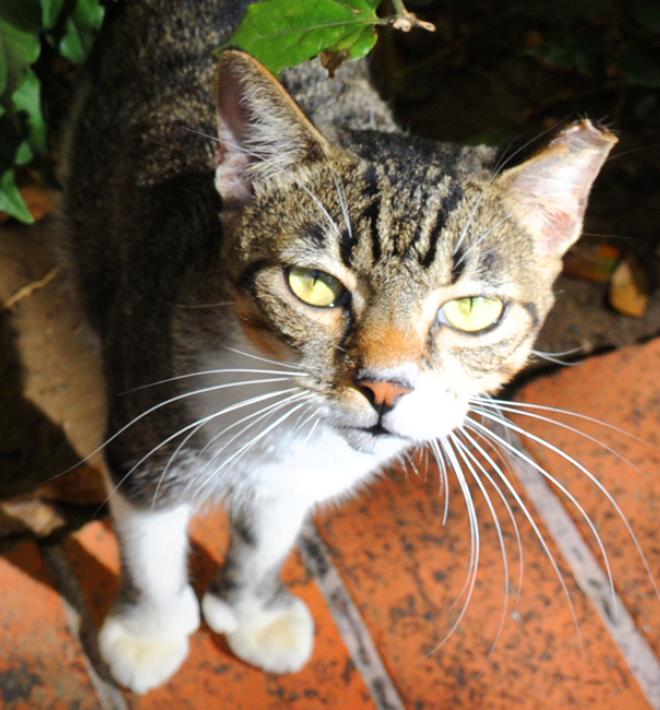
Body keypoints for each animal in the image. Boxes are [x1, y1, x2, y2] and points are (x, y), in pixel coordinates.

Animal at [63, 0, 620, 696]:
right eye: (315, 285)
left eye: (472, 310)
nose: (385, 387)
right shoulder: (149, 408)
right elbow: (150, 537)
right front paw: (151, 632)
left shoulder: (295, 477)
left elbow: (269, 535)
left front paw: (251, 611)